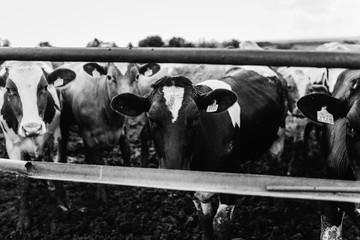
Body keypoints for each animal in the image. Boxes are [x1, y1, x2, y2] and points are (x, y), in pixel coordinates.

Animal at [0, 60, 75, 234]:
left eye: (44, 87)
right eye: (9, 89)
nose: (32, 127)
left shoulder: (57, 135)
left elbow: (59, 166)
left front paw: (64, 202)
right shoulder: (13, 147)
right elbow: (22, 182)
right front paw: (24, 219)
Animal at [111, 68, 288, 240]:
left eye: (195, 117)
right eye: (152, 119)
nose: (174, 169)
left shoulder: (229, 177)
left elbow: (220, 224)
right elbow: (205, 220)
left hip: (279, 136)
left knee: (277, 164)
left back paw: (278, 210)